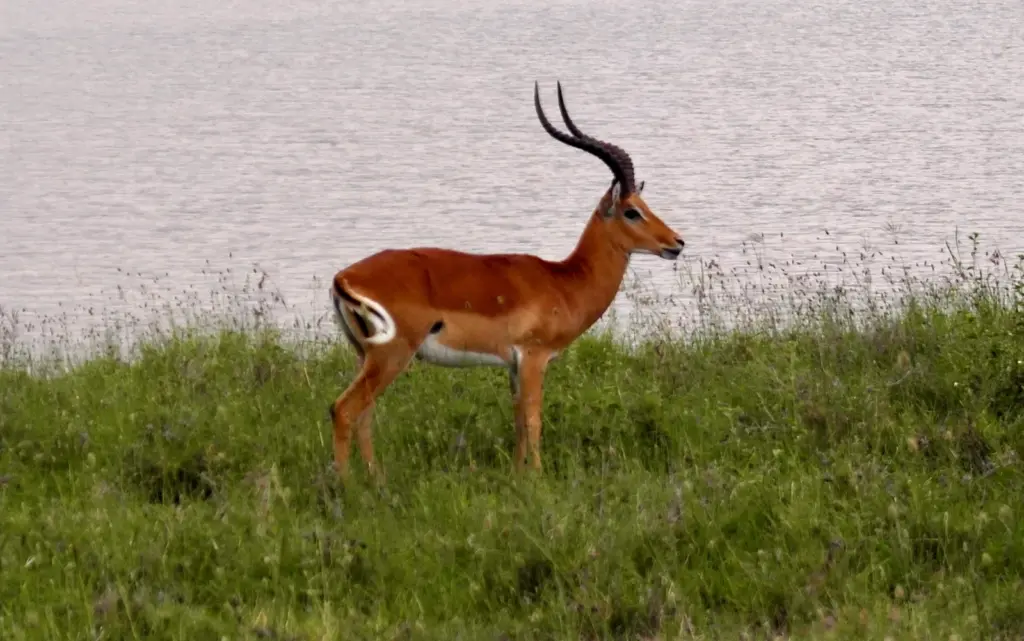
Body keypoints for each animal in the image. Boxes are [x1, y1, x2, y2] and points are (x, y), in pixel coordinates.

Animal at [327, 81, 685, 483]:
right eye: (632, 211)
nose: (676, 243)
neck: (563, 282)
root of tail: (345, 276)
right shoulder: (533, 357)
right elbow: (533, 421)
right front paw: (538, 478)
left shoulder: (513, 366)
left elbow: (517, 422)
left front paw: (517, 474)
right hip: (391, 356)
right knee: (344, 409)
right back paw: (346, 485)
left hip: (366, 356)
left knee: (364, 414)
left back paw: (375, 478)